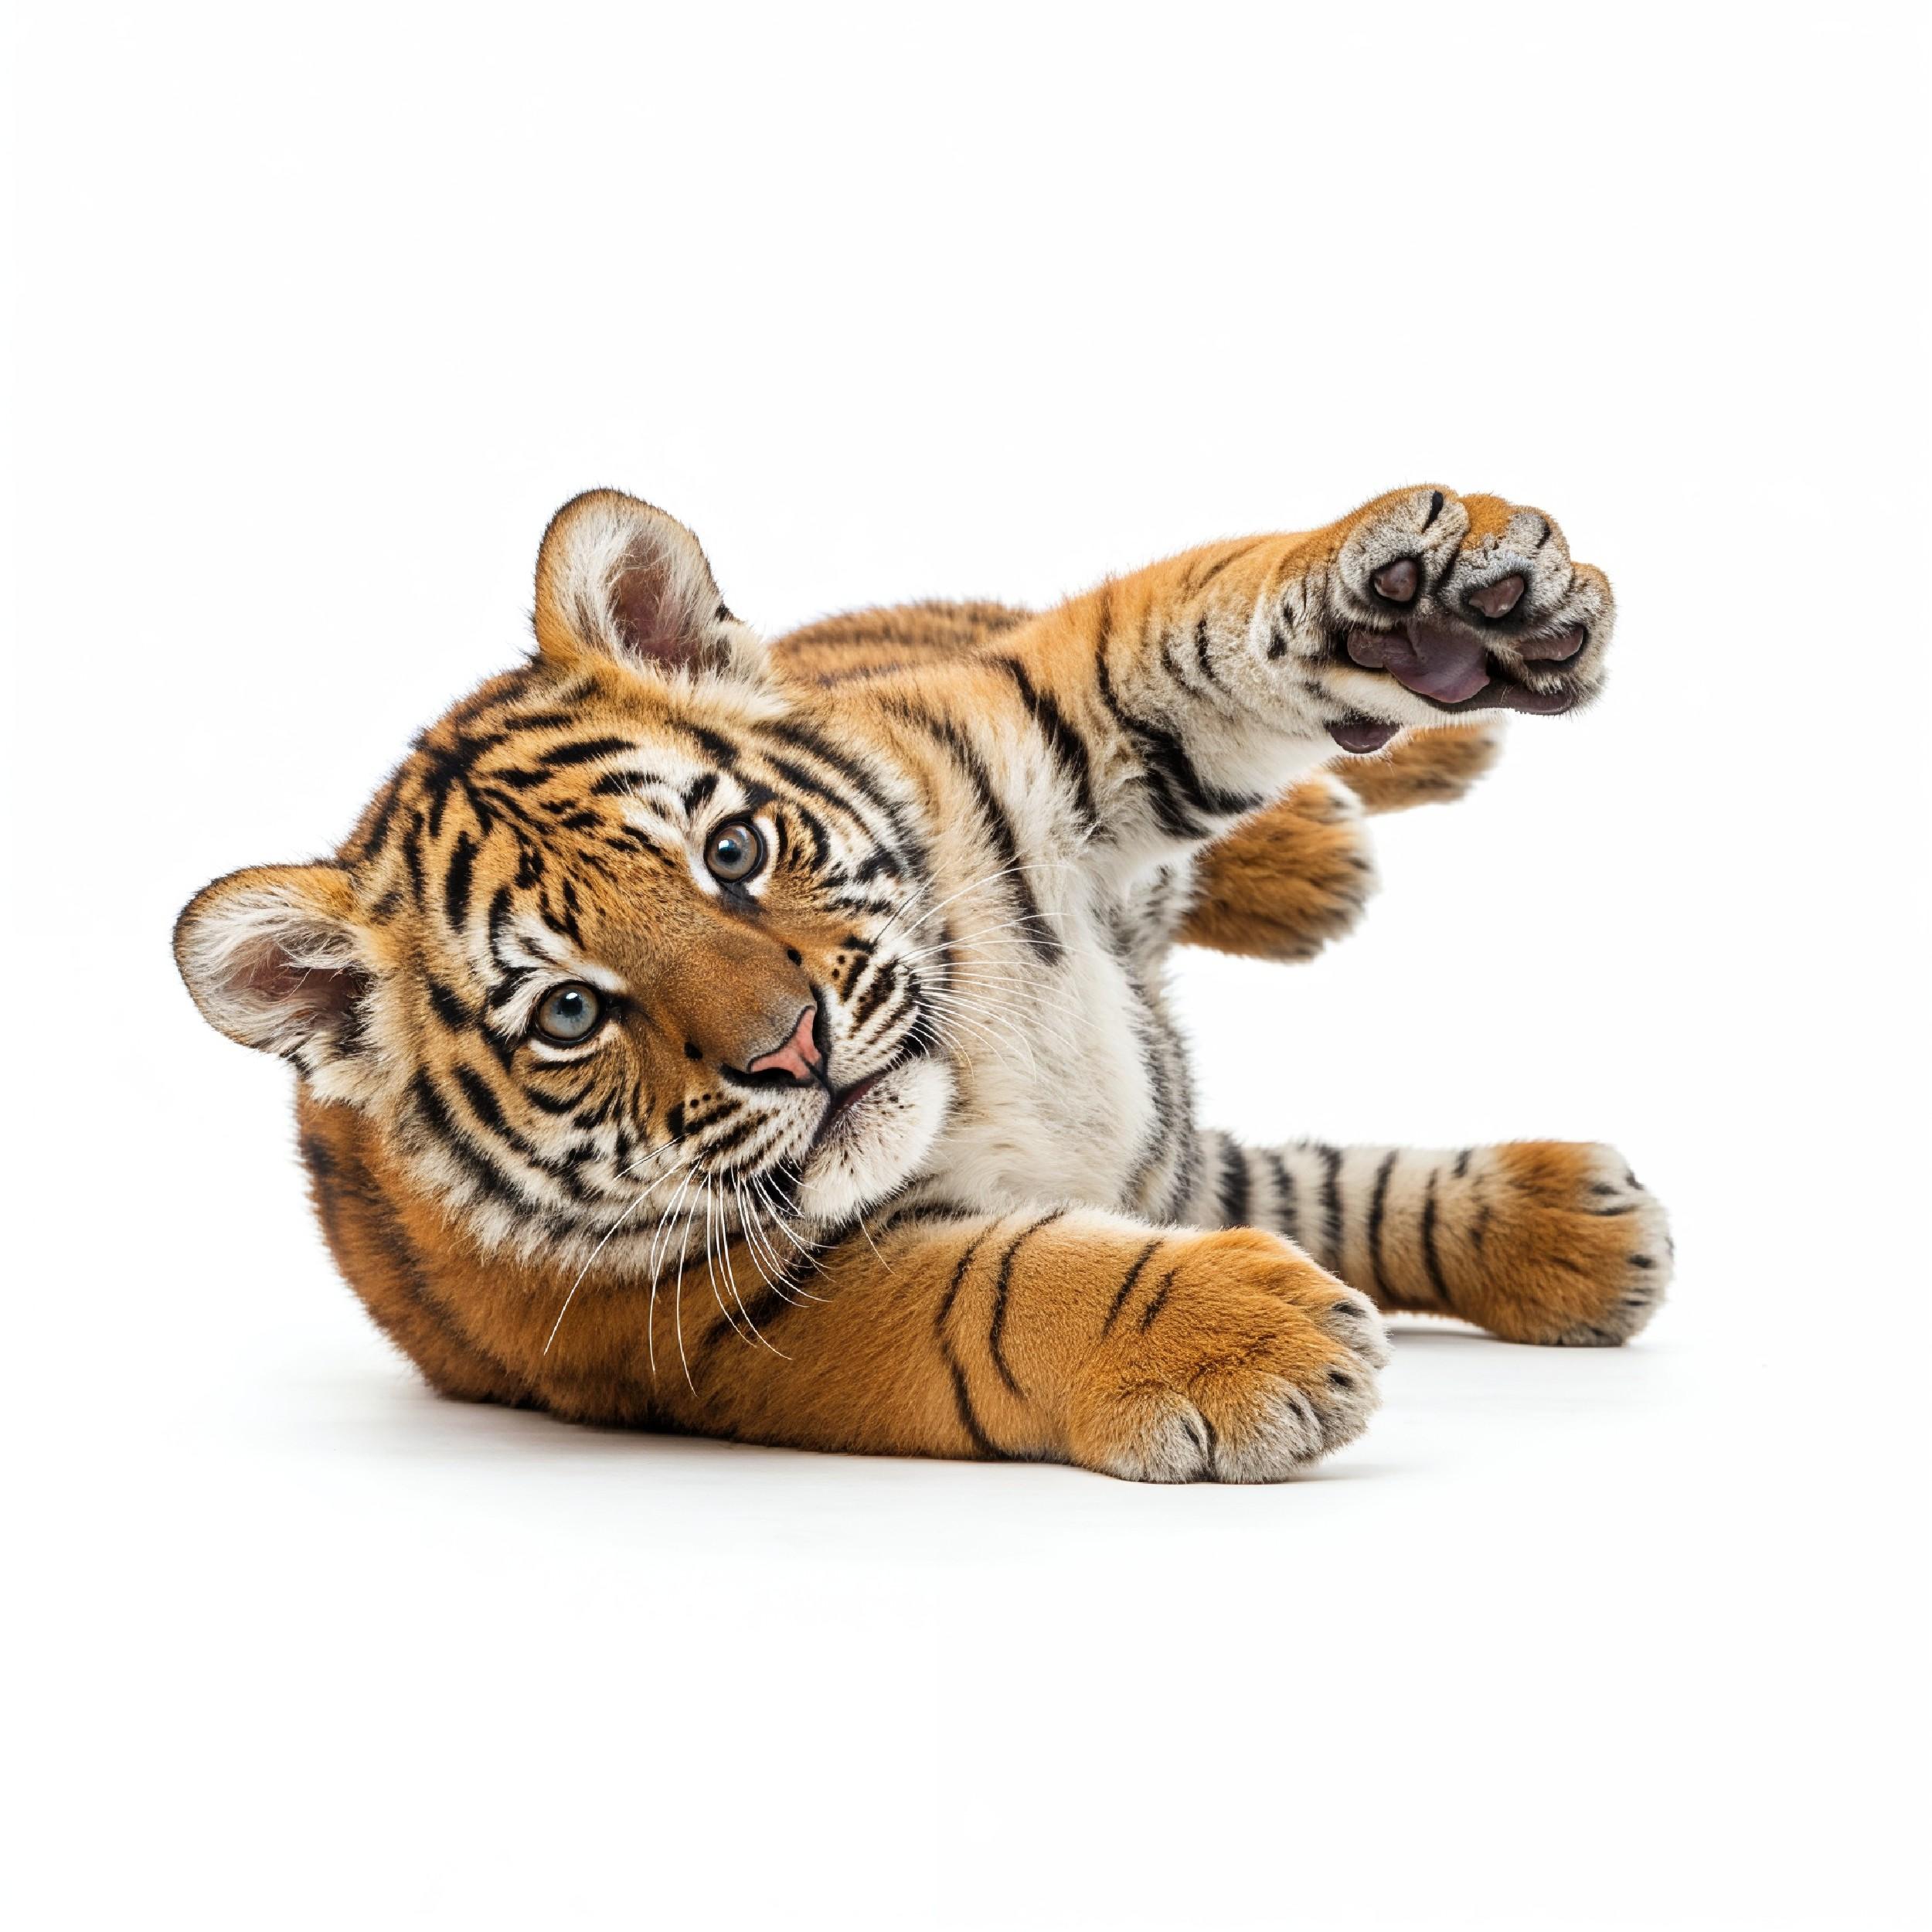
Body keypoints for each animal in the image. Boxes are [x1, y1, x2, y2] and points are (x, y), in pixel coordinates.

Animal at [173, 483, 1672, 1482]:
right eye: (570, 1012)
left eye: (731, 850)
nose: (793, 1049)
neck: (972, 1075)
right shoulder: (747, 1324)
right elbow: (1024, 1286)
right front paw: (1277, 1332)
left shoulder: (1047, 722)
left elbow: (1204, 628)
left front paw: (1440, 603)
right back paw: (1329, 868)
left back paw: (1357, 810)